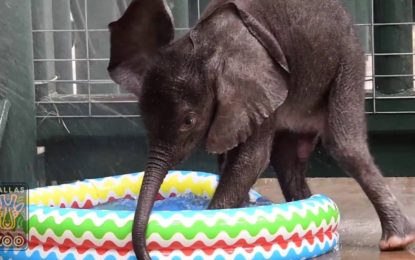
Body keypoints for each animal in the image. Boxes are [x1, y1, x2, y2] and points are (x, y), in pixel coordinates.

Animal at [108, 0, 415, 258]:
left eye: (189, 121)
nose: (146, 253)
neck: (208, 47)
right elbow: (232, 157)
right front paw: (244, 207)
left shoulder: (260, 86)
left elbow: (250, 160)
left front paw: (213, 216)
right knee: (288, 158)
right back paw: (304, 202)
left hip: (347, 63)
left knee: (344, 145)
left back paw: (395, 241)